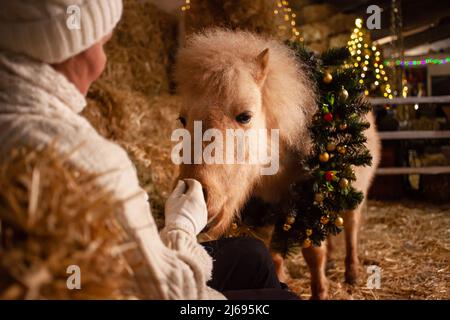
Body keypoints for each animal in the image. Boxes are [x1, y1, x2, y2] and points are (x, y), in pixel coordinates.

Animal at [176, 28, 380, 298]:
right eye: (182, 118)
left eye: (245, 116)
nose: (199, 194)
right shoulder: (267, 206)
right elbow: (274, 254)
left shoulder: (308, 203)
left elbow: (312, 252)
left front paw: (320, 291)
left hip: (353, 192)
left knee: (350, 228)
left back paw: (352, 273)